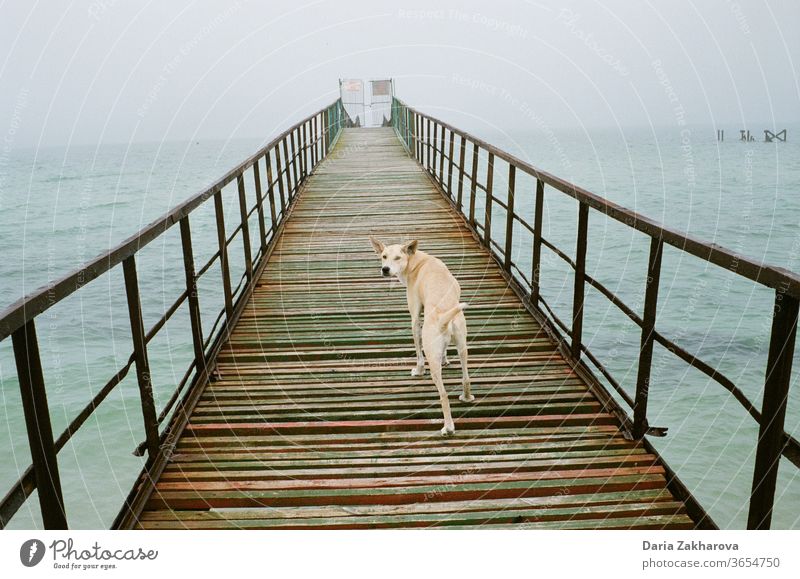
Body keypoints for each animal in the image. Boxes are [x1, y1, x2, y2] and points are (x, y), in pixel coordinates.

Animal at [370, 237, 476, 436]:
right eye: (384, 256)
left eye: (397, 258)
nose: (385, 269)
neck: (417, 261)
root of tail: (444, 317)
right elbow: (445, 349)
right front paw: (445, 359)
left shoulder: (414, 316)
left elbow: (418, 351)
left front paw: (418, 371)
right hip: (462, 345)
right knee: (466, 377)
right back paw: (467, 397)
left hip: (432, 354)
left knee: (443, 394)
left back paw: (448, 427)